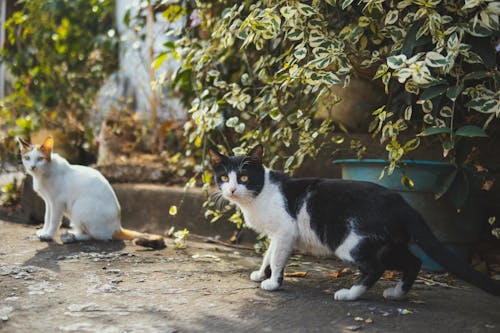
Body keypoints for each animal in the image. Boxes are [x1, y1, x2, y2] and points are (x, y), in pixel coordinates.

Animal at [17, 136, 165, 248]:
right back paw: (71, 234)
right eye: (27, 158)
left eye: (40, 159)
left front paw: (49, 235)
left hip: (79, 208)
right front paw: (44, 231)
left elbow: (53, 220)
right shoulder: (49, 202)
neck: (43, 175)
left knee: (94, 236)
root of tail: (117, 227)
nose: (32, 167)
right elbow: (47, 217)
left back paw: (71, 237)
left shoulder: (57, 202)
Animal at [208, 144, 500, 300]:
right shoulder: (276, 234)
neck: (260, 193)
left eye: (244, 178)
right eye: (223, 177)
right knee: (413, 261)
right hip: (387, 242)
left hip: (351, 241)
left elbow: (278, 258)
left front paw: (273, 283)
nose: (231, 190)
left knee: (375, 267)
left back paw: (350, 294)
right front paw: (261, 273)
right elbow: (268, 255)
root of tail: (401, 202)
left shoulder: (285, 231)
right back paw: (396, 293)